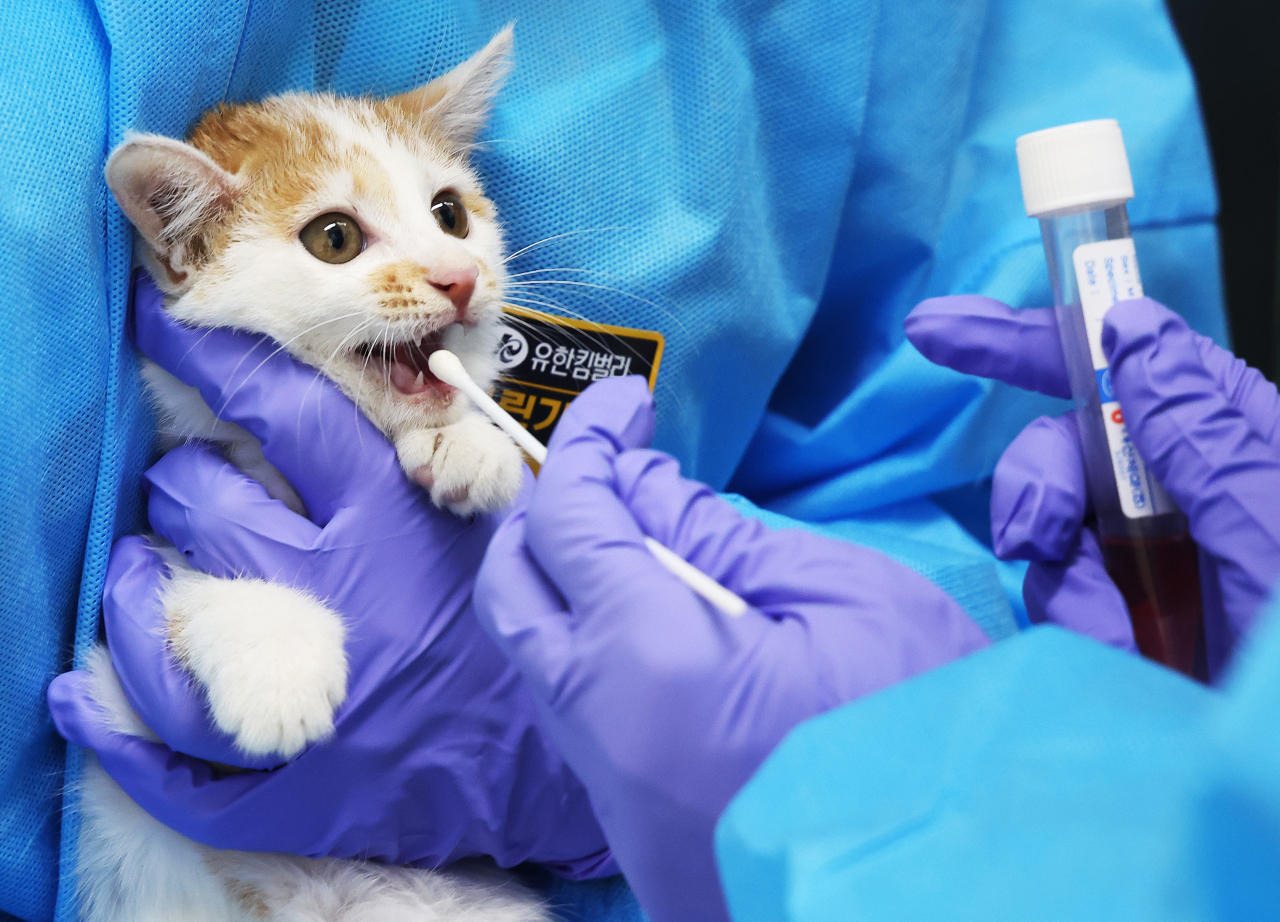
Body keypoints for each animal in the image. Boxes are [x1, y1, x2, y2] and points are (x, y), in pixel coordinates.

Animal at [74, 28, 545, 922]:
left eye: (451, 214)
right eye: (335, 238)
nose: (460, 277)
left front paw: (469, 444)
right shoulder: (121, 674)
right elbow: (177, 584)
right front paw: (276, 661)